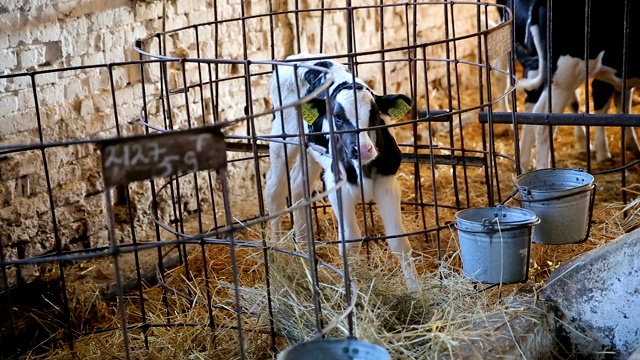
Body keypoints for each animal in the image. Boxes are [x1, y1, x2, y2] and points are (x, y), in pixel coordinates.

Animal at [264, 52, 420, 290]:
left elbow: (399, 241)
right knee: (275, 189)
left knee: (299, 185)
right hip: (283, 136)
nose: (362, 149)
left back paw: (303, 248)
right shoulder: (339, 188)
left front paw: (415, 290)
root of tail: (295, 56)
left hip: (311, 149)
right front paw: (355, 290)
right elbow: (350, 243)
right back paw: (277, 253)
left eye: (375, 116)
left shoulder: (387, 184)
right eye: (337, 117)